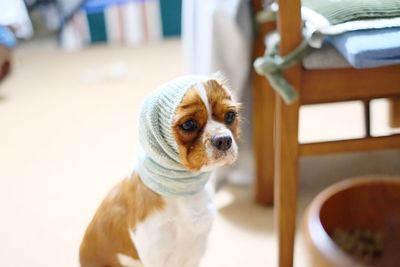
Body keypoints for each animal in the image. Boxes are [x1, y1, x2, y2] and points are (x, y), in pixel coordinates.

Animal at [79, 75, 239, 267]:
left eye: (230, 115)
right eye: (188, 124)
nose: (224, 140)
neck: (183, 190)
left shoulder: (195, 250)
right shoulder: (157, 254)